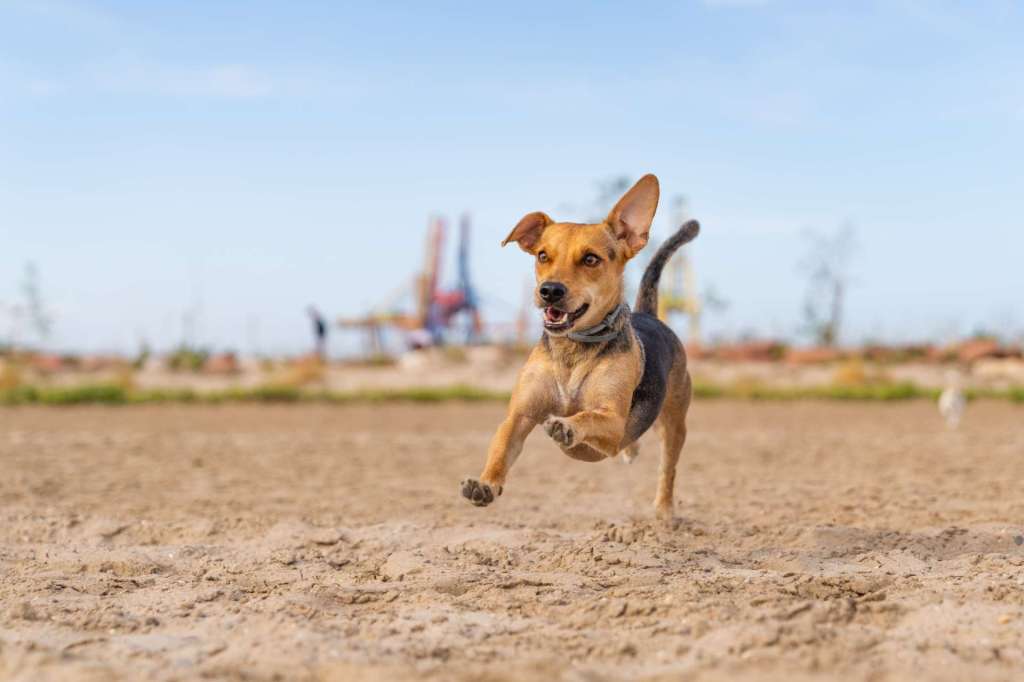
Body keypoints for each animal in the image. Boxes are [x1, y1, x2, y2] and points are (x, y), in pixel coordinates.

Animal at [460, 174, 700, 516]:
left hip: (674, 425)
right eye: (542, 256)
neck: (573, 348)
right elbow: (501, 448)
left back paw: (665, 511)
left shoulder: (613, 423)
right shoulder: (520, 415)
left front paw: (567, 426)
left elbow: (588, 417)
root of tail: (650, 314)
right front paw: (486, 483)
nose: (550, 291)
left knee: (668, 469)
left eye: (590, 259)